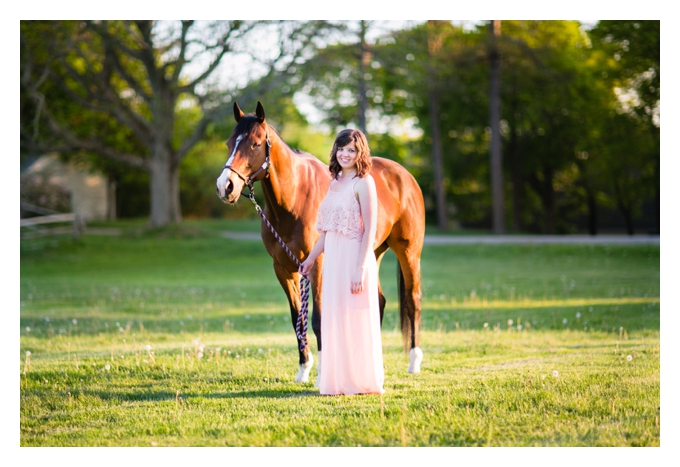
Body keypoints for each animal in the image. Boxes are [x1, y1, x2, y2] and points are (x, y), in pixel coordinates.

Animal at [216, 101, 425, 383]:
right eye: (229, 143)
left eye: (255, 144)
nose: (225, 187)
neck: (294, 199)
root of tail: (405, 176)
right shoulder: (284, 269)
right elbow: (297, 318)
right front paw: (303, 369)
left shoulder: (317, 266)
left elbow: (317, 319)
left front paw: (321, 374)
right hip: (372, 253)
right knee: (378, 301)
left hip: (409, 251)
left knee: (413, 301)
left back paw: (414, 362)